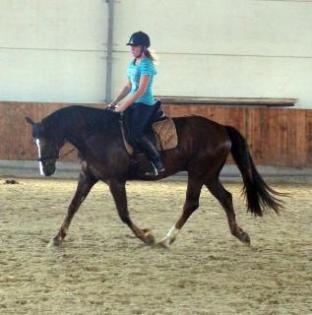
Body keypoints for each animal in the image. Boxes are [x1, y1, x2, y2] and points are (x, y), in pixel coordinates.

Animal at [25, 105, 282, 248]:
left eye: (47, 137)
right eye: (35, 140)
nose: (45, 169)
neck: (96, 133)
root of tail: (221, 128)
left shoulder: (116, 181)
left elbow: (123, 214)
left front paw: (146, 237)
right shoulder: (87, 177)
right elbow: (72, 207)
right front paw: (57, 238)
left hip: (198, 173)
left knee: (191, 204)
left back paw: (166, 240)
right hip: (209, 175)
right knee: (226, 198)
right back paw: (241, 234)